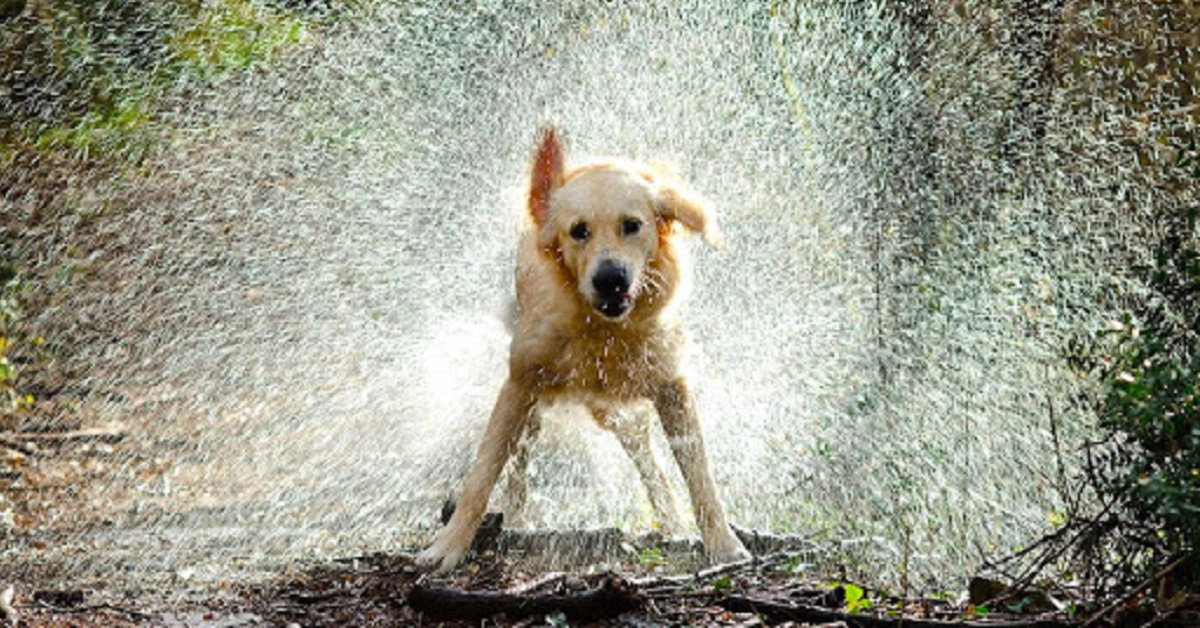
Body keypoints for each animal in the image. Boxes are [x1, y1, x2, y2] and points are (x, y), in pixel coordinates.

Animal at [417, 126, 744, 569]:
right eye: (578, 231)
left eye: (632, 225)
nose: (611, 279)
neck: (602, 329)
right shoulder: (520, 384)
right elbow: (482, 477)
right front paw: (448, 547)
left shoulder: (672, 386)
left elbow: (700, 475)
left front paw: (723, 543)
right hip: (537, 406)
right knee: (519, 464)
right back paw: (516, 520)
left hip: (620, 412)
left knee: (651, 465)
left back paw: (673, 523)